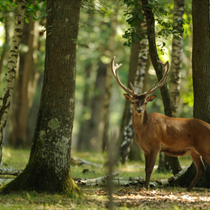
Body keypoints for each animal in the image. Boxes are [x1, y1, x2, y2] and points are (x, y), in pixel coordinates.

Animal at [111, 56, 210, 192]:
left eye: (145, 102)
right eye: (134, 101)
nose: (139, 110)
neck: (143, 131)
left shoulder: (156, 146)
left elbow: (150, 168)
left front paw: (147, 187)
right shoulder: (145, 149)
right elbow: (145, 168)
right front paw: (145, 186)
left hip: (204, 146)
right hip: (194, 151)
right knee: (201, 168)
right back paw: (188, 189)